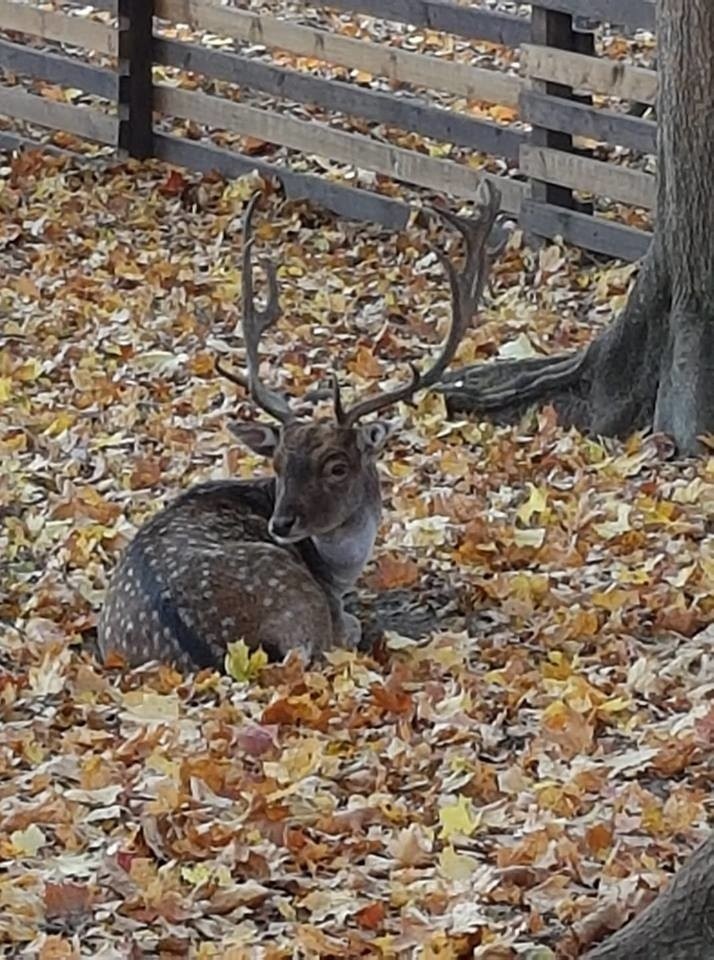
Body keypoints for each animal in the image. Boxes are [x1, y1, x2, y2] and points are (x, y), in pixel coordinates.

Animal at [97, 184, 498, 672]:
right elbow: (352, 624)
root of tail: (212, 653)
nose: (281, 523)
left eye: (337, 466)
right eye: (278, 462)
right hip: (289, 591)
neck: (340, 570)